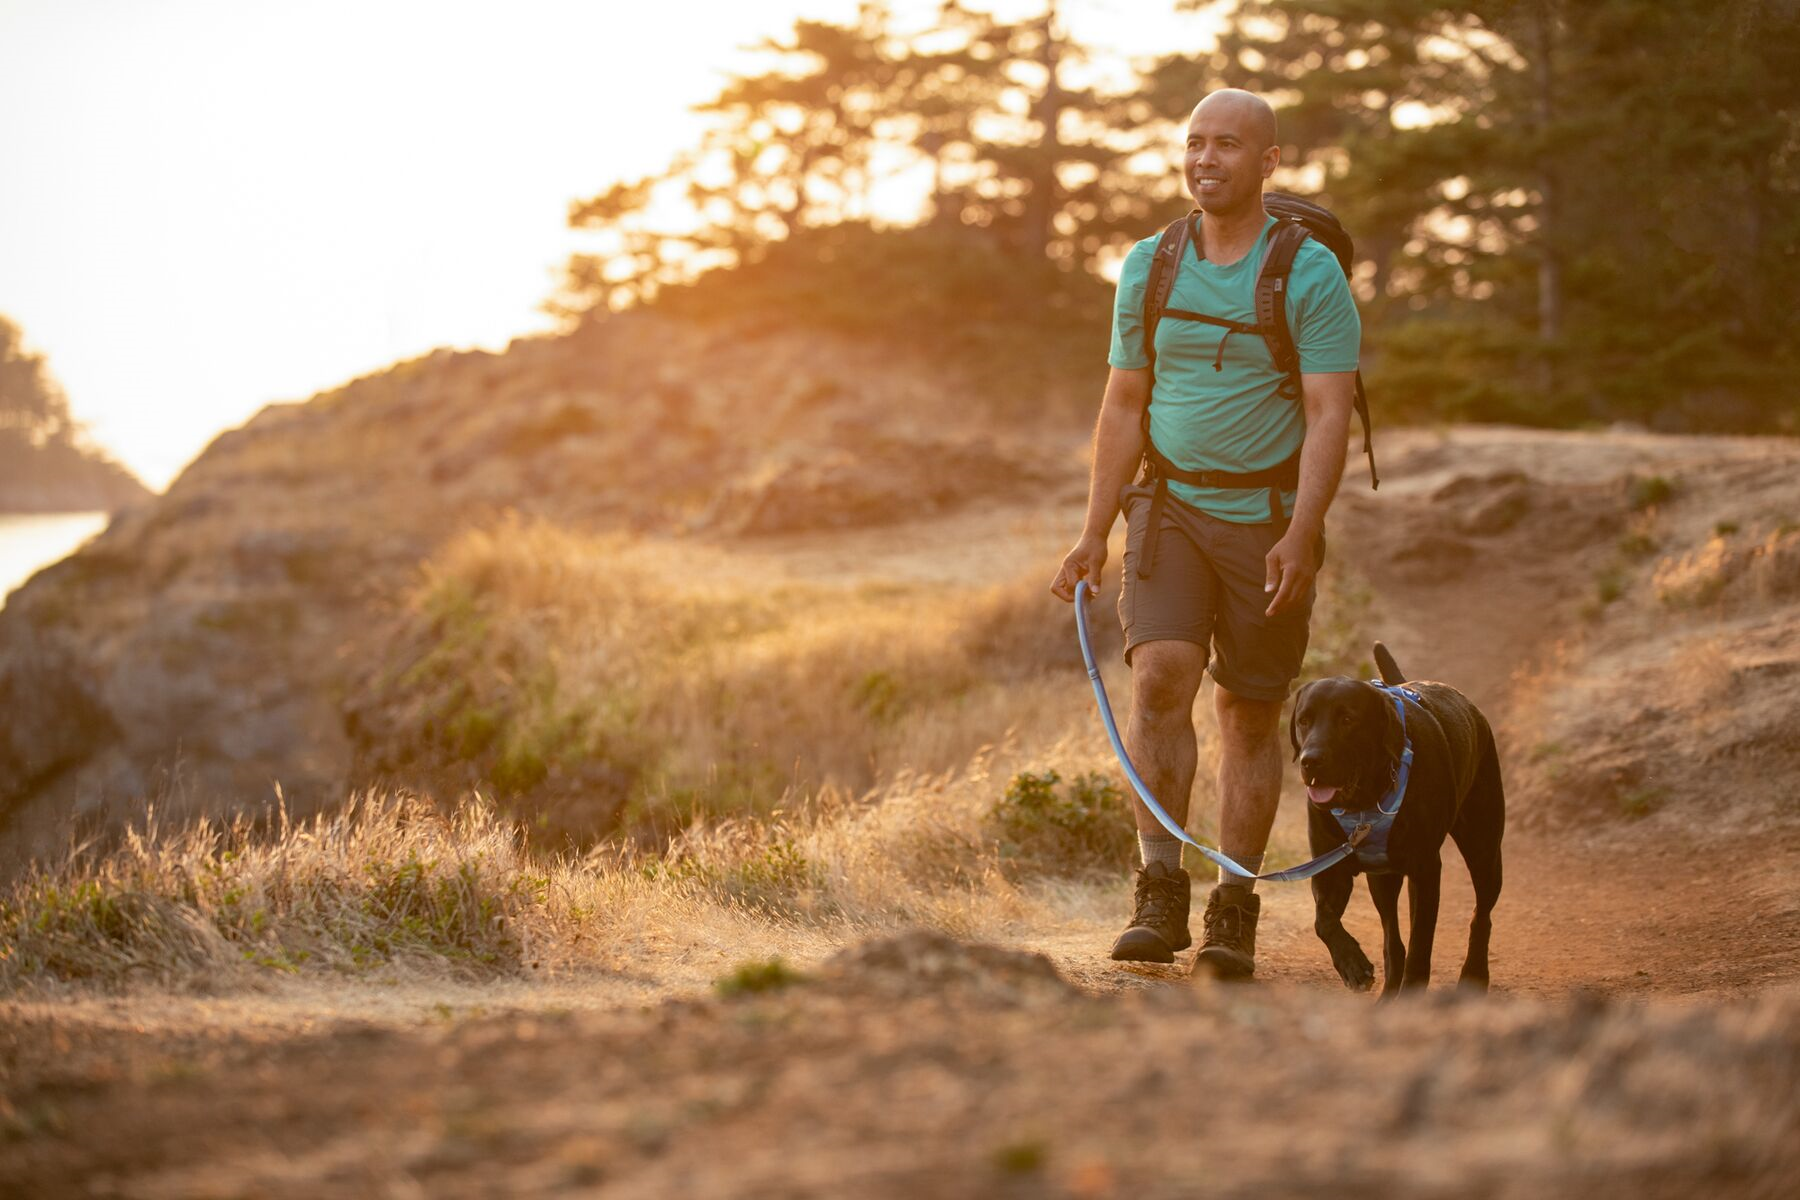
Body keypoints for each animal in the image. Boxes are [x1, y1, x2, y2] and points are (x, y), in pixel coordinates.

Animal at [1296, 647, 1504, 993]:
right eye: (1303, 720)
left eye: (1347, 719)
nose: (1310, 761)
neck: (1365, 801)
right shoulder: (1330, 869)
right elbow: (1323, 920)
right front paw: (1352, 964)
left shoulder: (1426, 869)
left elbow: (1421, 944)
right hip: (1382, 879)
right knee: (1393, 943)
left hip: (1484, 851)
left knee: (1482, 915)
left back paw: (1474, 974)